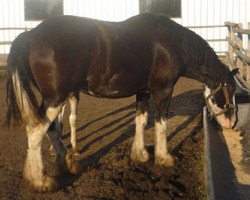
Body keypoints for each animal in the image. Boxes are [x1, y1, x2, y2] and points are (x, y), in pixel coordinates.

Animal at [4, 12, 237, 192]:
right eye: (231, 90)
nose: (231, 123)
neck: (172, 44)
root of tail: (30, 36)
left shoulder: (143, 92)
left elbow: (141, 120)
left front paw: (140, 155)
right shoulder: (163, 90)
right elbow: (161, 124)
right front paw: (164, 158)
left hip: (57, 98)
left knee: (51, 129)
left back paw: (68, 164)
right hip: (56, 98)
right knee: (37, 130)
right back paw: (40, 180)